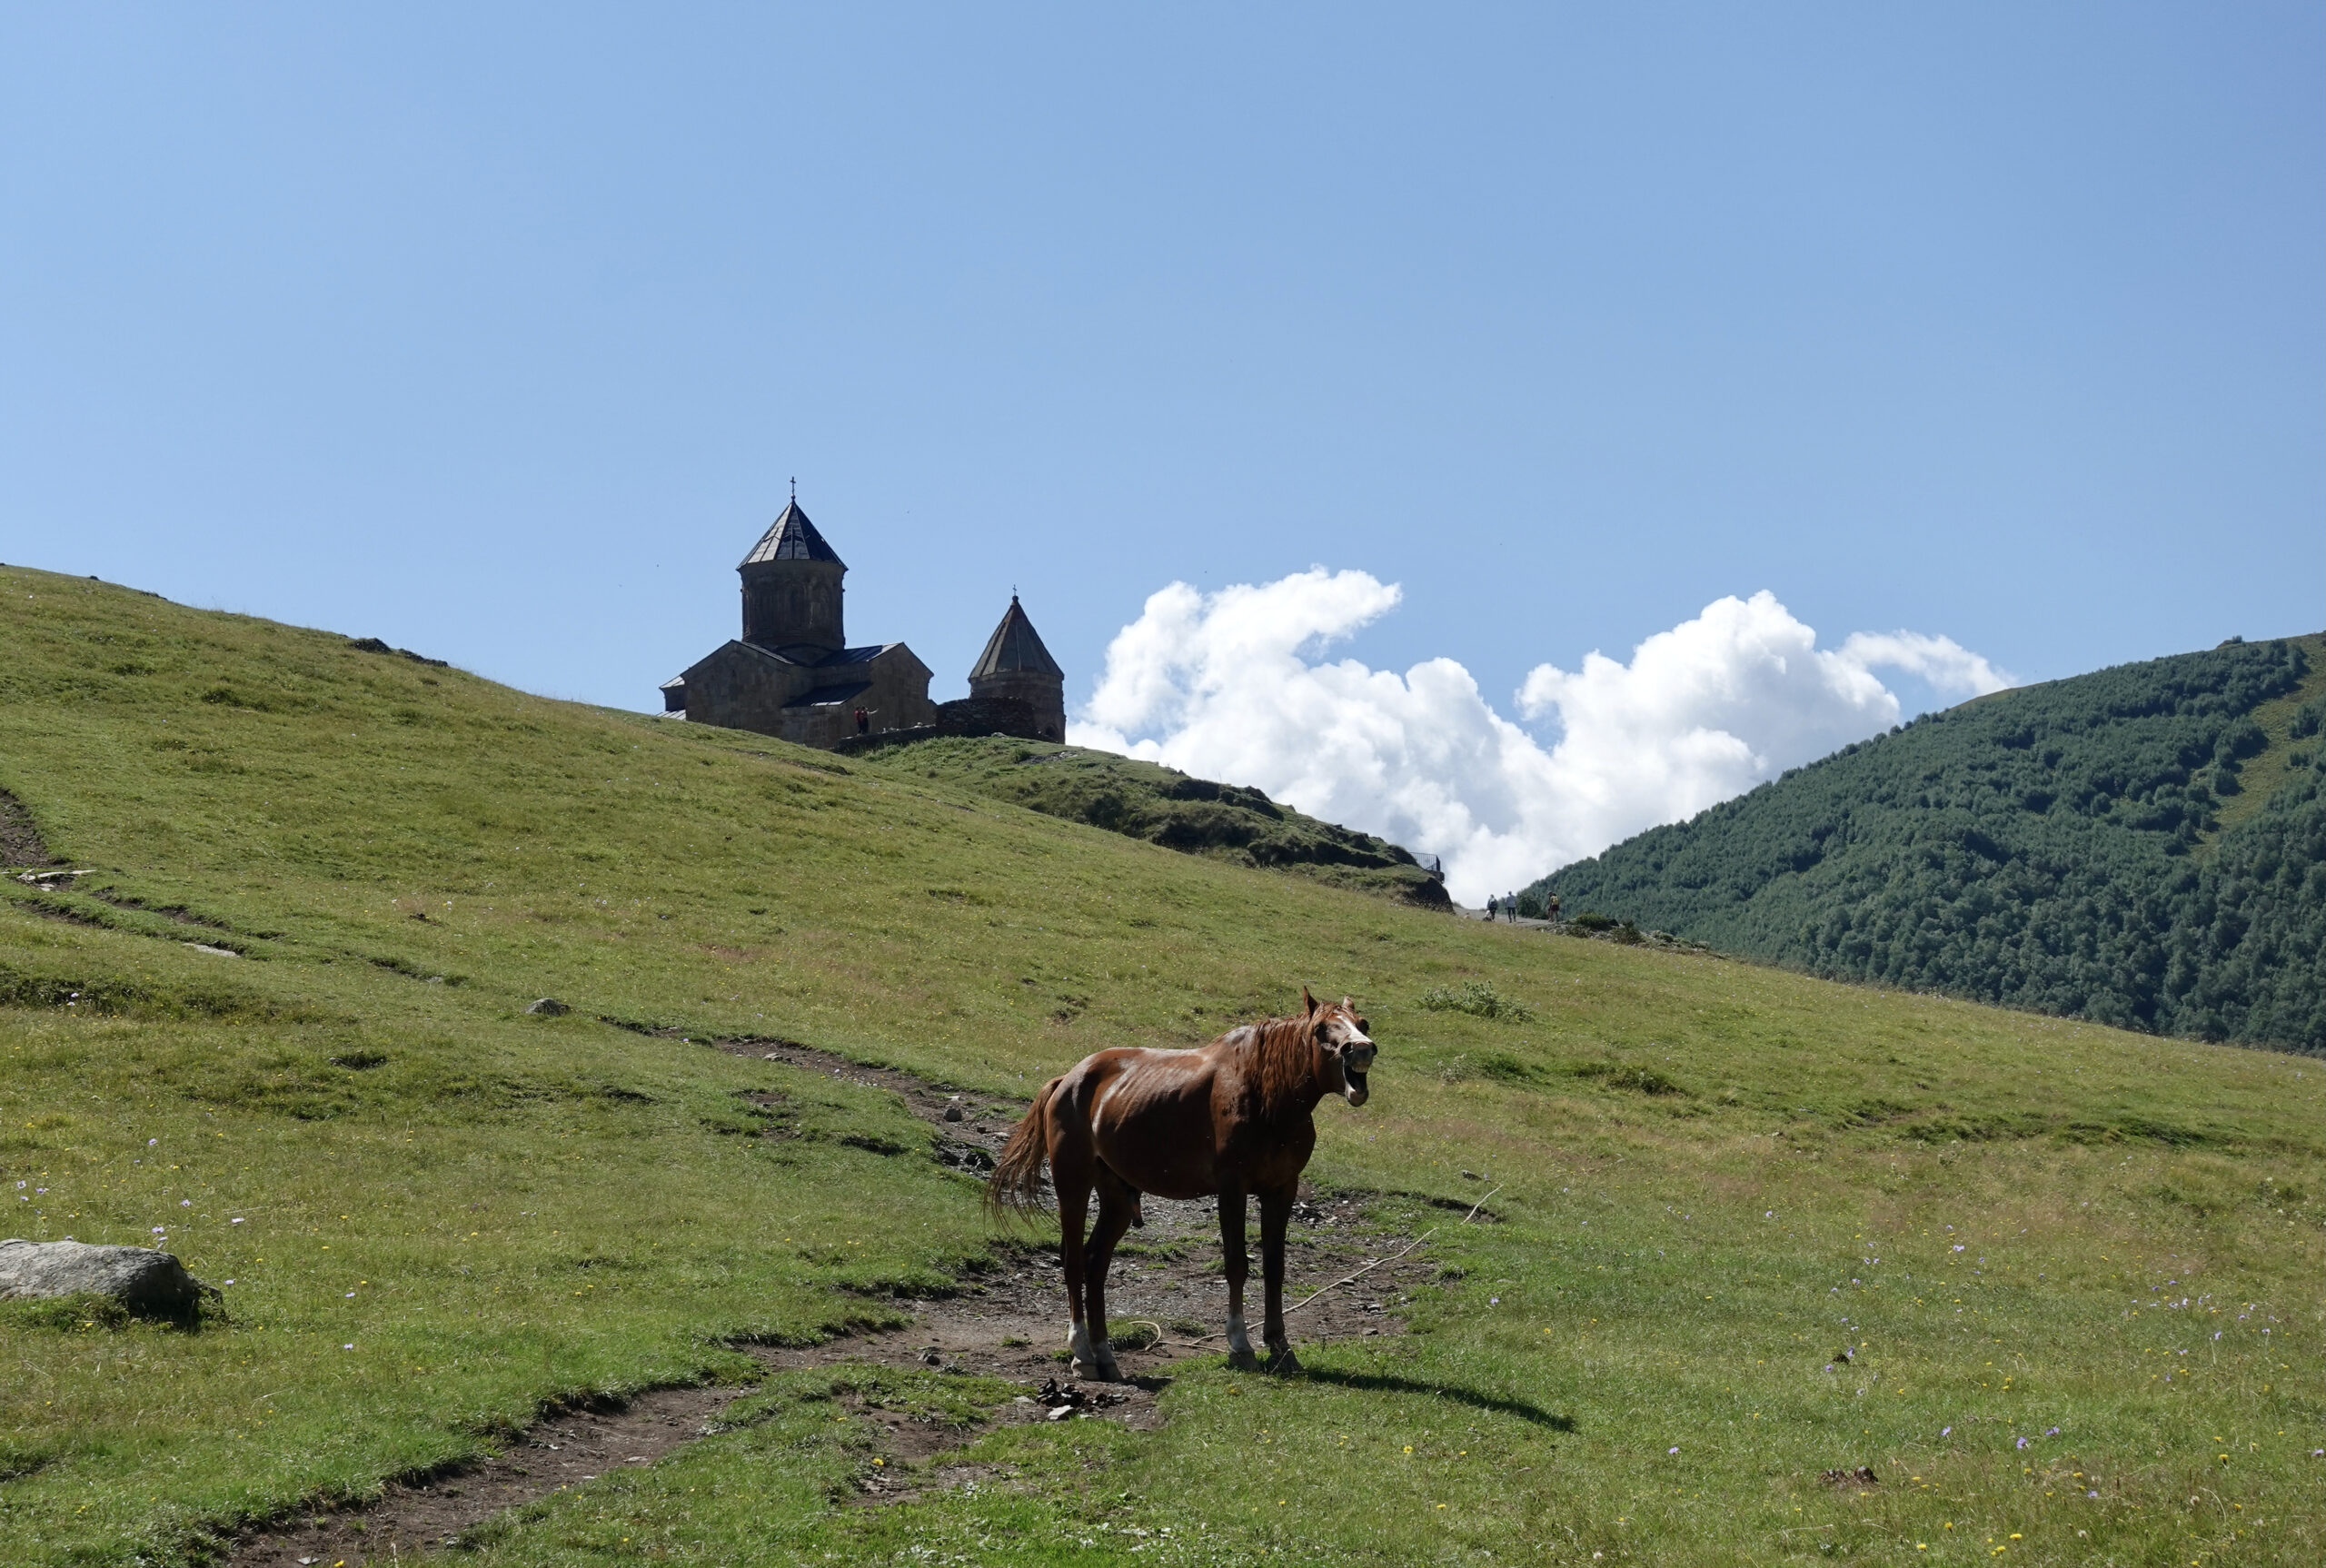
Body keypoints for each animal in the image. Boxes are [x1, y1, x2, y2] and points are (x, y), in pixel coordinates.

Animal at [986, 990, 1377, 1367]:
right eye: (1320, 1029)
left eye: (1363, 1023)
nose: (1359, 1048)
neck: (1265, 1095)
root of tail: (1067, 1081)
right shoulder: (1232, 1189)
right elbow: (1237, 1265)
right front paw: (1239, 1344)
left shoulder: (1281, 1190)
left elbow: (1274, 1267)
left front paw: (1279, 1345)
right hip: (1073, 1186)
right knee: (1073, 1262)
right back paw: (1082, 1350)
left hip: (1117, 1199)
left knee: (1096, 1263)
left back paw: (1104, 1352)